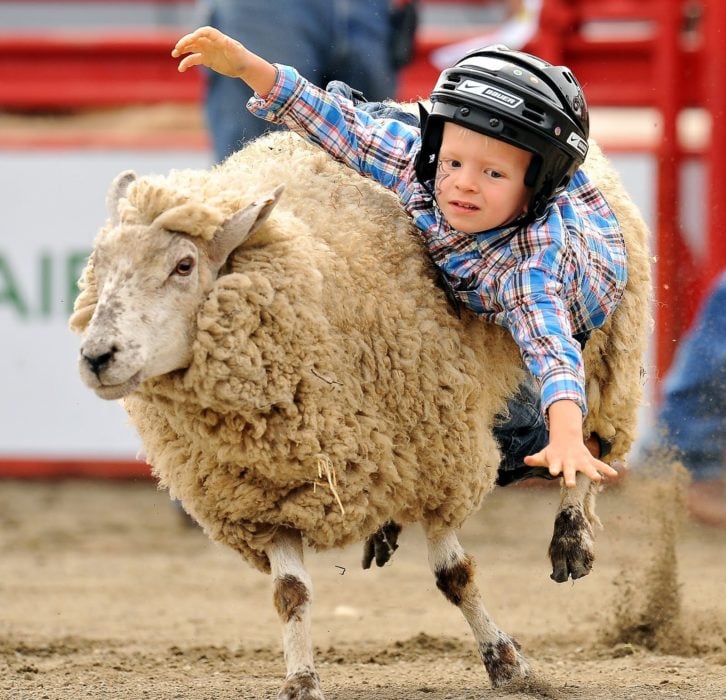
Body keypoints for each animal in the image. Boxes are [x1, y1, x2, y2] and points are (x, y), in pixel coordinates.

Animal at [72, 130, 656, 696]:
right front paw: (301, 681)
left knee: (591, 435)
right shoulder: (271, 494)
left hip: (608, 354)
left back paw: (572, 535)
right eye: (101, 265)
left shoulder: (439, 460)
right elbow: (290, 594)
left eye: (184, 265)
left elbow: (456, 575)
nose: (97, 356)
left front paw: (508, 664)